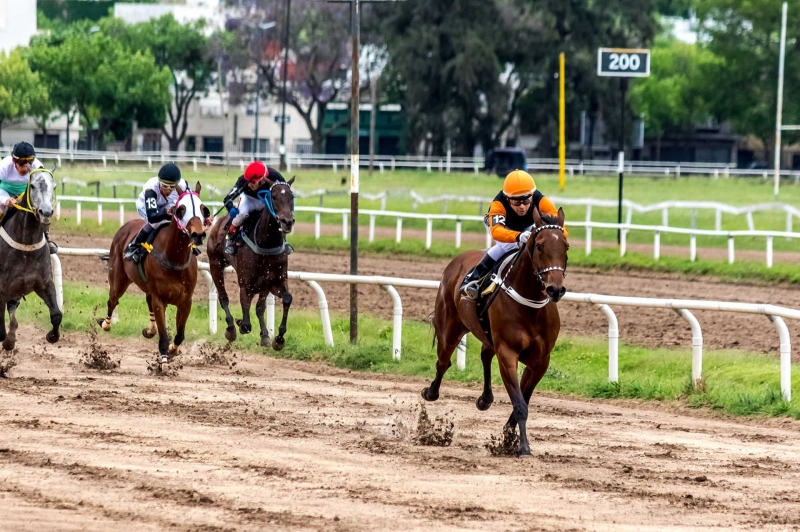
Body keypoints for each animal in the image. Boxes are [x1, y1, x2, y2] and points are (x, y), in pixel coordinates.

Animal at [0, 168, 61, 352]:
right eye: (33, 186)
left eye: (54, 186)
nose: (46, 213)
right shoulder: (1, 289)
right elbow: (0, 331)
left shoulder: (45, 283)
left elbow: (57, 315)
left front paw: (52, 336)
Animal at [99, 184, 209, 366]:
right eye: (181, 209)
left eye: (202, 208)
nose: (198, 235)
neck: (174, 258)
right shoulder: (160, 300)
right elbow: (164, 334)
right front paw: (163, 362)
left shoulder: (186, 301)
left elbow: (180, 334)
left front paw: (173, 350)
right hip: (118, 279)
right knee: (112, 300)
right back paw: (106, 324)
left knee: (147, 301)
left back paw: (150, 330)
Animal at [205, 178, 296, 350]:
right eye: (273, 196)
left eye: (291, 196)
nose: (287, 222)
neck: (266, 243)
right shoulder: (245, 285)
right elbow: (246, 324)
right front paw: (240, 323)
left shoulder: (274, 281)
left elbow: (286, 299)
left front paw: (278, 338)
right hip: (215, 264)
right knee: (224, 298)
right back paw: (231, 328)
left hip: (263, 285)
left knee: (260, 307)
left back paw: (264, 334)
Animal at [424, 208, 568, 458]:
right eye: (540, 246)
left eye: (566, 246)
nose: (555, 289)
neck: (530, 305)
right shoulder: (508, 352)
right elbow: (520, 404)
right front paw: (523, 447)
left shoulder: (540, 360)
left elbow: (524, 399)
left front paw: (509, 437)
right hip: (449, 328)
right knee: (443, 362)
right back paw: (431, 392)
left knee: (484, 354)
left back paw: (485, 399)